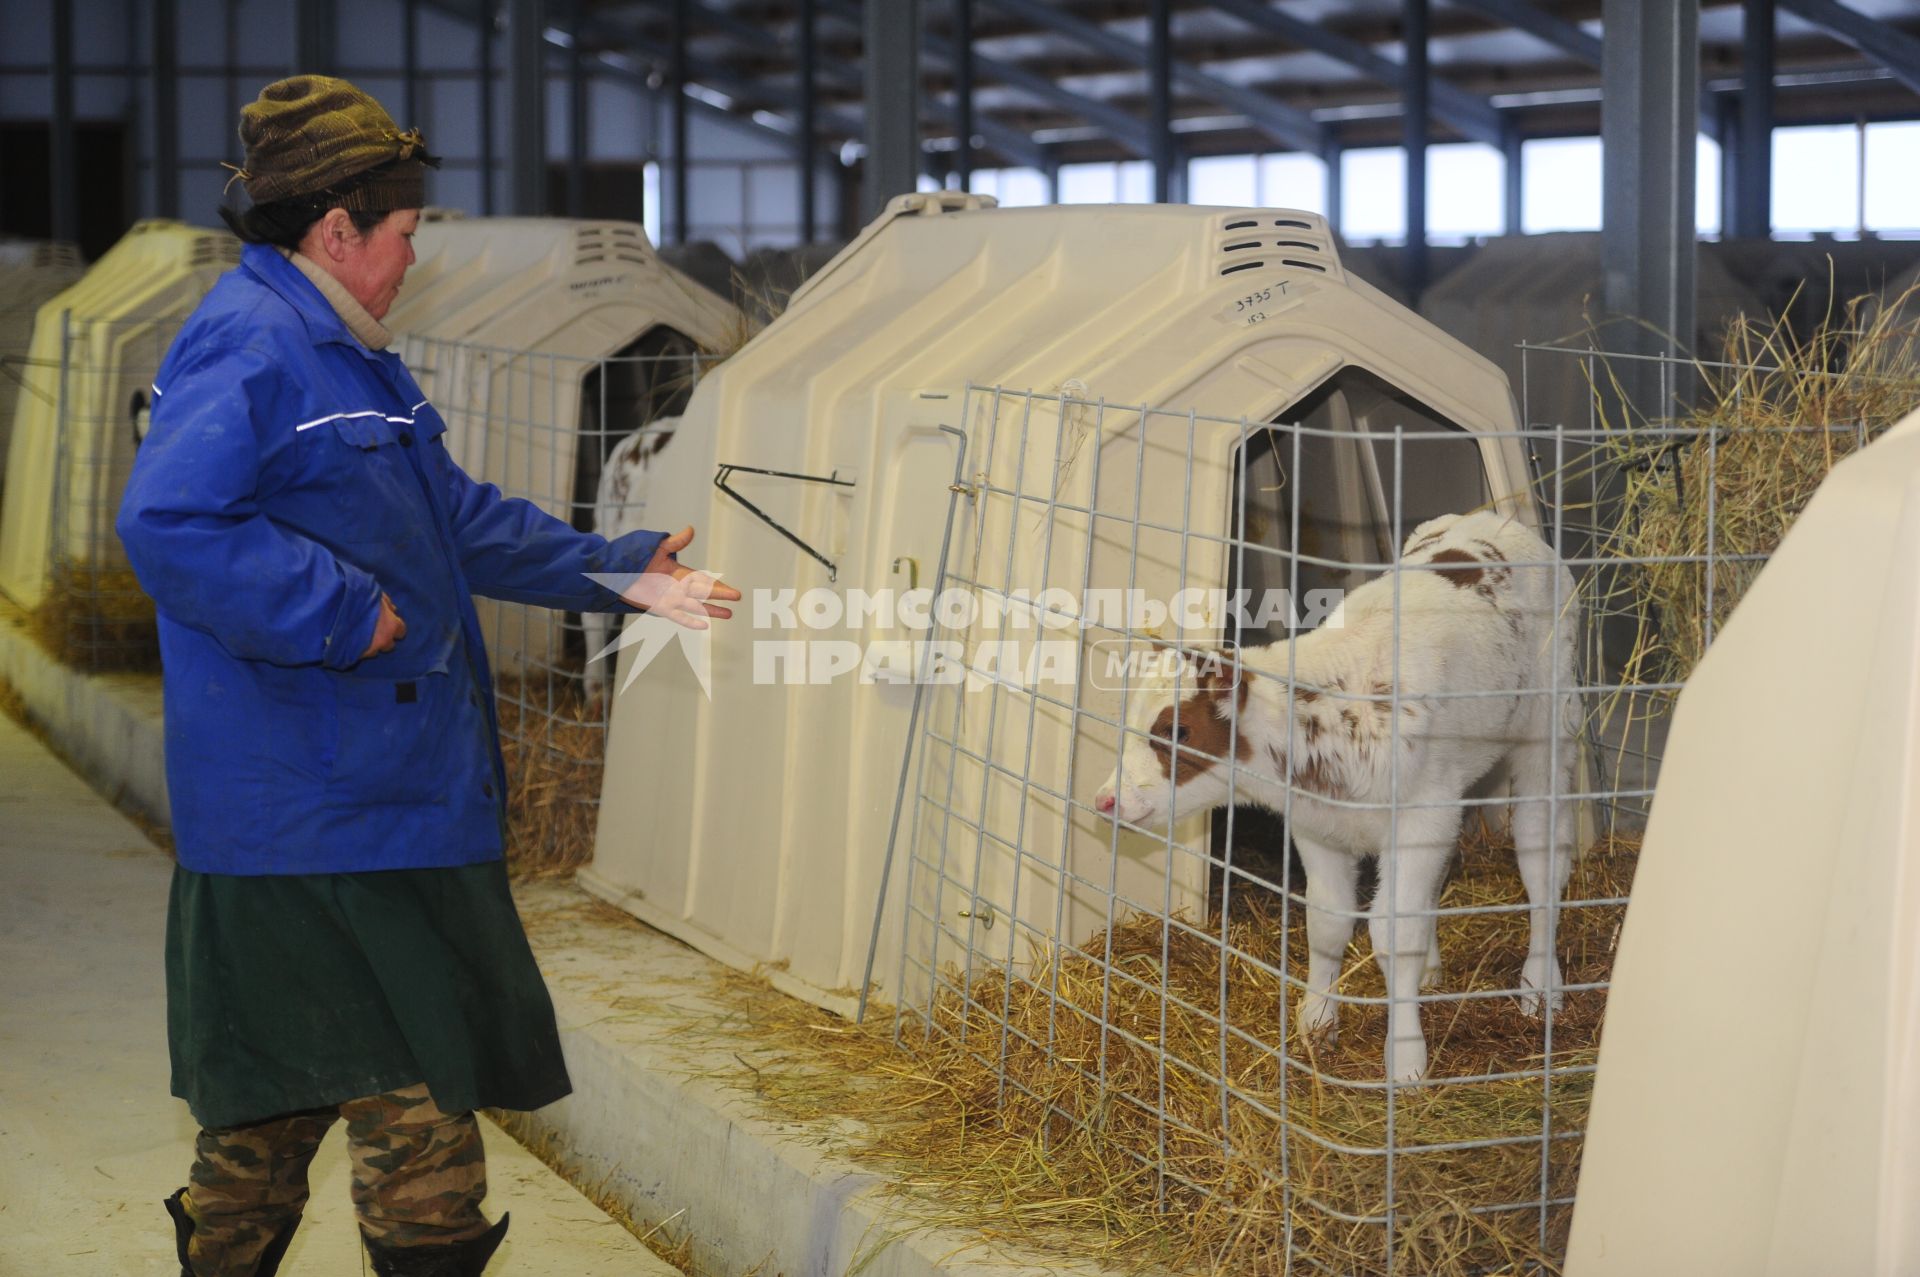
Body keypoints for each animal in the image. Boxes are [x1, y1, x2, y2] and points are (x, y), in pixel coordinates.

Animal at [1090, 514, 1582, 1083]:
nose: (1106, 801)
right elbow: (1326, 921)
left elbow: (1393, 931)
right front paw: (1316, 1022)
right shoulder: (1319, 827)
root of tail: (1494, 521)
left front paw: (1406, 1060)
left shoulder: (1419, 817)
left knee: (1542, 864)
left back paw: (1541, 988)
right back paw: (1436, 969)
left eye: (1177, 731)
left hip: (1547, 738)